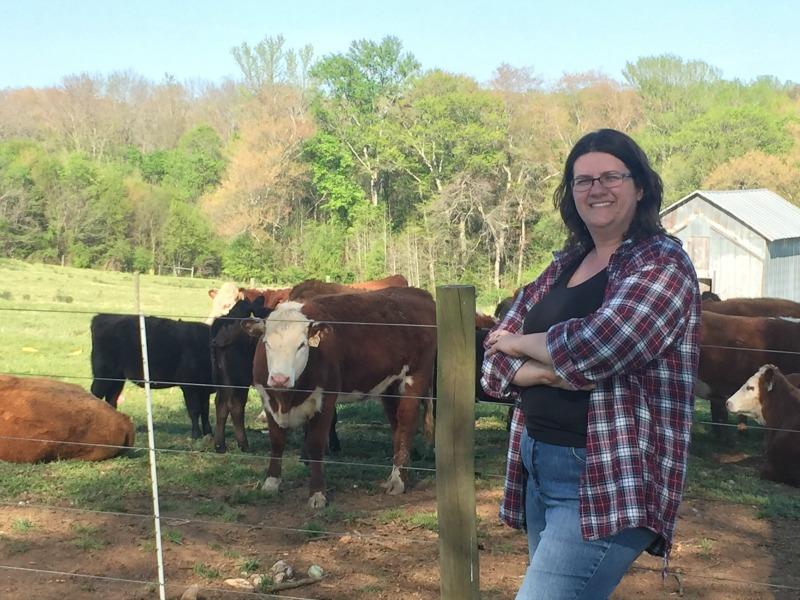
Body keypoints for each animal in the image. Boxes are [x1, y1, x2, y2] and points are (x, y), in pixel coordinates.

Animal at [245, 284, 438, 506]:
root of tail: (419, 293)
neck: (288, 398)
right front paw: (271, 483)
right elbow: (276, 441)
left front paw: (317, 493)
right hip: (390, 386)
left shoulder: (326, 399)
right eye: (267, 343)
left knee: (406, 424)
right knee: (396, 426)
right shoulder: (268, 399)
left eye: (301, 345)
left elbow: (315, 445)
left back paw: (398, 480)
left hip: (415, 377)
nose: (279, 378)